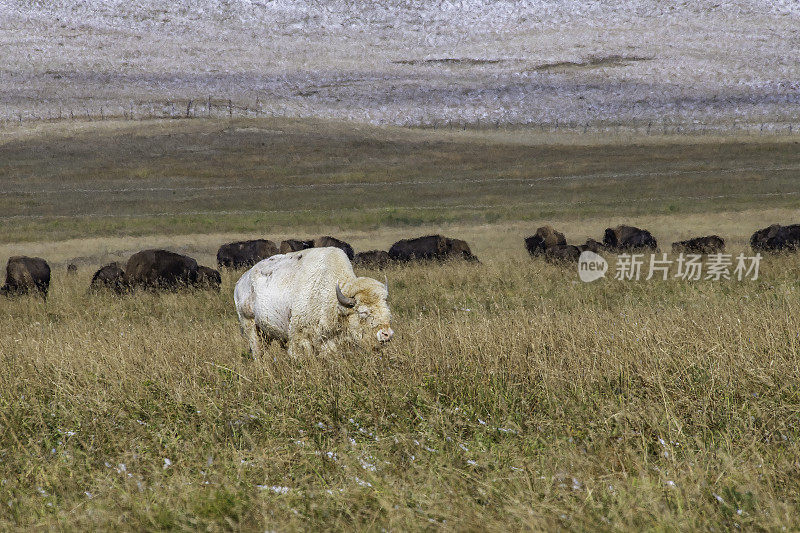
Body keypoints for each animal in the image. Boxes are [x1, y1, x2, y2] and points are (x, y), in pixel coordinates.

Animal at [231, 246, 394, 358]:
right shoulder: (301, 337)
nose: (387, 334)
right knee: (257, 351)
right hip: (250, 325)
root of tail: (241, 282)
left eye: (387, 310)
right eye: (363, 312)